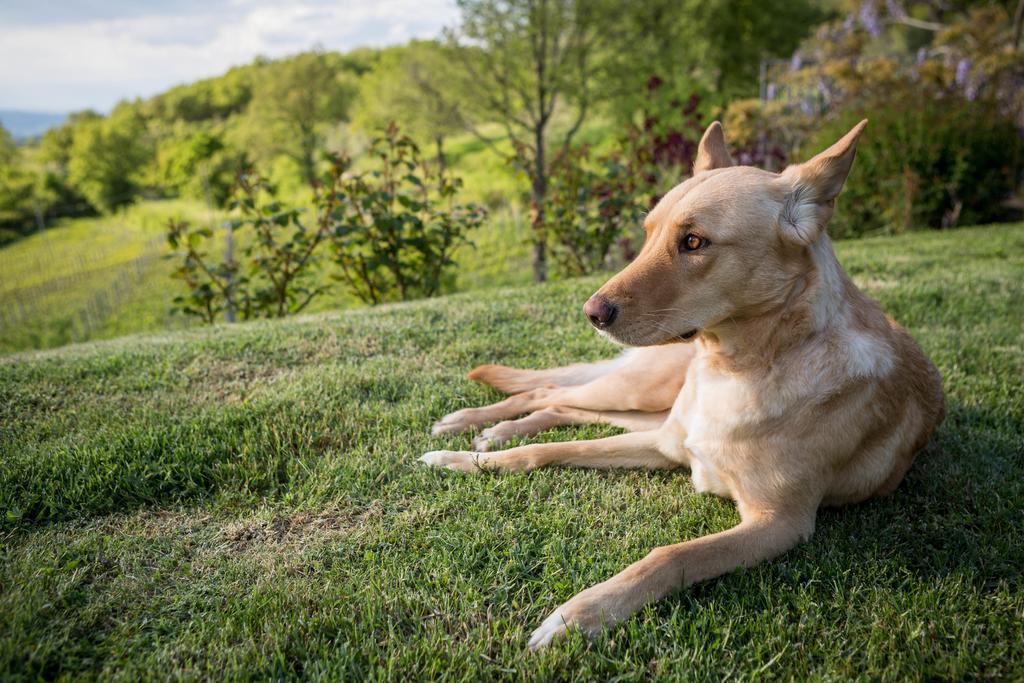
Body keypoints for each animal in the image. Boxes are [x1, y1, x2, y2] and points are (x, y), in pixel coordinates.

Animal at [415, 120, 942, 651]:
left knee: (561, 406)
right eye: (648, 233)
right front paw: (464, 461)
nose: (591, 313)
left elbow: (669, 555)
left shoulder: (779, 523)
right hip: (643, 391)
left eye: (693, 242)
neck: (737, 369)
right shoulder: (669, 444)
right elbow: (549, 451)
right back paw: (474, 425)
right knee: (549, 393)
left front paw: (578, 615)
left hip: (645, 407)